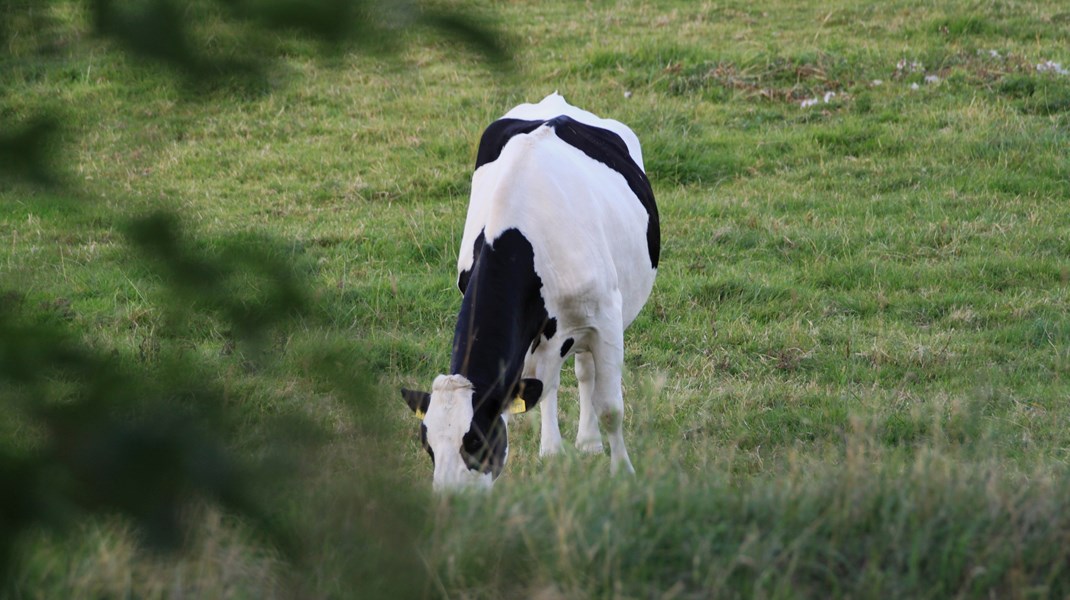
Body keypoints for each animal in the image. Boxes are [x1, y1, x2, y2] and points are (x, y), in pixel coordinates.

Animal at [400, 91, 654, 489]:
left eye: (475, 440)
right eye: (428, 446)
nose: (449, 498)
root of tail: (556, 102)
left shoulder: (606, 317)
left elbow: (611, 407)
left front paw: (623, 472)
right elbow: (542, 387)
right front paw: (551, 453)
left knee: (585, 372)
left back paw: (589, 442)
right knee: (554, 379)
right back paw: (565, 446)